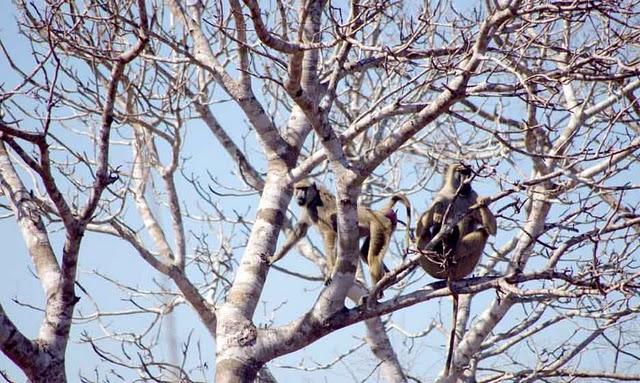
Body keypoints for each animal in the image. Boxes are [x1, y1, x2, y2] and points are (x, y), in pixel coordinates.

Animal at [268, 180, 410, 292]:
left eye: (304, 189)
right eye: (298, 189)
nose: (299, 196)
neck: (314, 197)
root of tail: (379, 214)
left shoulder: (317, 208)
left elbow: (329, 233)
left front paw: (330, 271)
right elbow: (299, 232)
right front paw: (273, 258)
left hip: (380, 226)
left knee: (372, 257)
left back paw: (377, 291)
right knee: (365, 254)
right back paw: (388, 276)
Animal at [412, 163, 498, 378]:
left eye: (469, 173)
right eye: (461, 172)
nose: (467, 183)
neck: (457, 195)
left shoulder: (471, 196)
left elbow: (491, 228)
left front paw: (484, 202)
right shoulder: (442, 196)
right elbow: (422, 225)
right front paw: (435, 214)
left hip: (465, 266)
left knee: (482, 231)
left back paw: (451, 251)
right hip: (430, 264)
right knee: (424, 234)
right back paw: (440, 245)